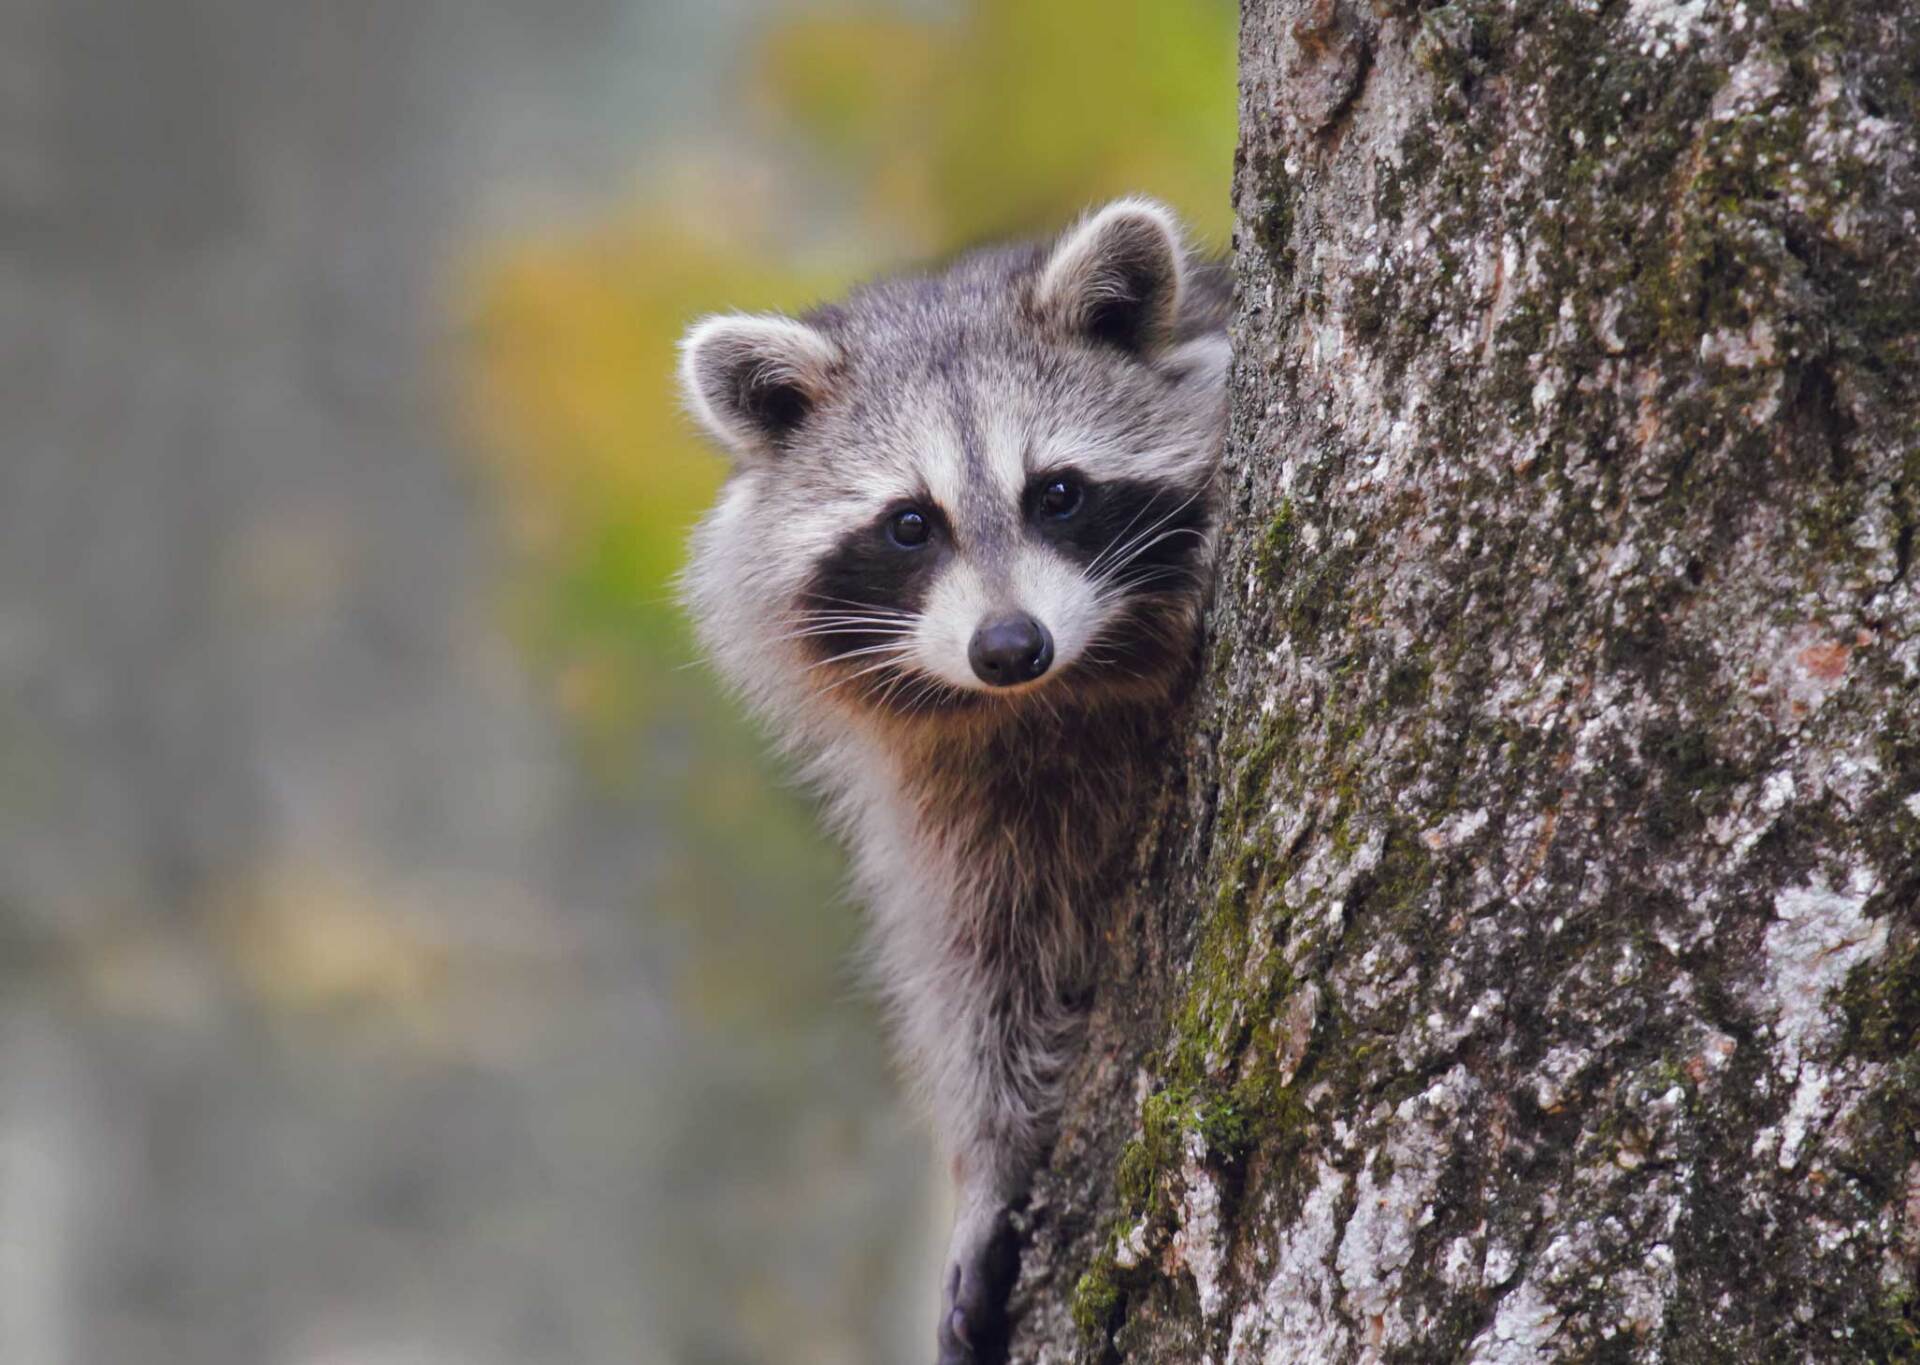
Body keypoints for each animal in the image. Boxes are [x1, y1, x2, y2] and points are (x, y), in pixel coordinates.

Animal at [675, 200, 1221, 1365]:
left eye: (1057, 494)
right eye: (909, 523)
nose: (1010, 645)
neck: (1045, 702)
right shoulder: (943, 792)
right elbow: (977, 959)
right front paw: (991, 1162)